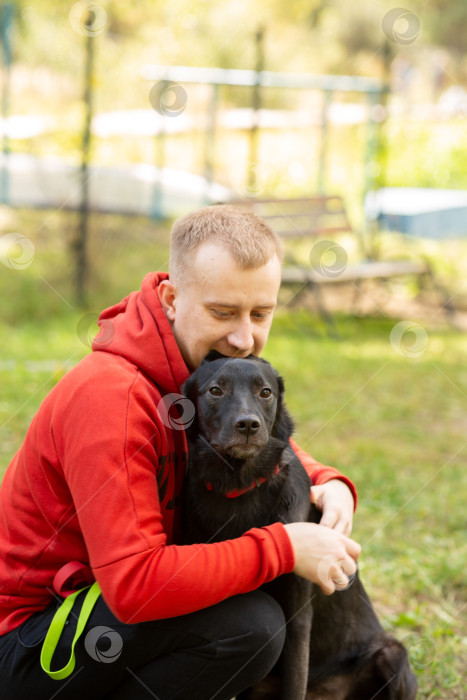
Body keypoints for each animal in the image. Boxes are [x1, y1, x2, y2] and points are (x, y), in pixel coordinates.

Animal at [181, 352, 418, 700]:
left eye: (265, 392)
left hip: (393, 656)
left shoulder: (298, 615)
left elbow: (294, 682)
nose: (248, 425)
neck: (240, 483)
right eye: (215, 391)